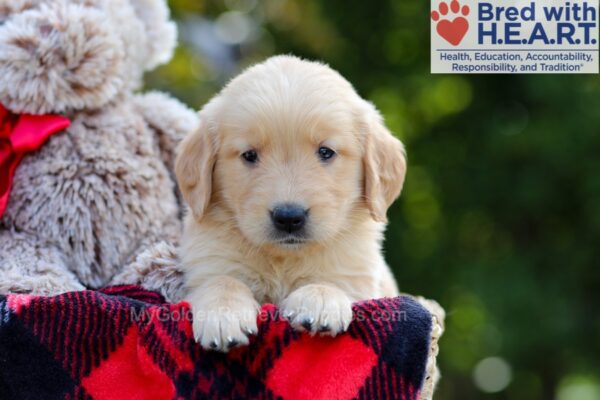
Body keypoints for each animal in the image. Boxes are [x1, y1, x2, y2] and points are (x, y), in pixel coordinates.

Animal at [176, 55, 406, 350]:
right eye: (249, 155)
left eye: (326, 152)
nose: (288, 217)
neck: (284, 259)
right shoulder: (209, 262)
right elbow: (222, 280)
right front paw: (223, 314)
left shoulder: (356, 276)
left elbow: (333, 282)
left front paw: (320, 299)